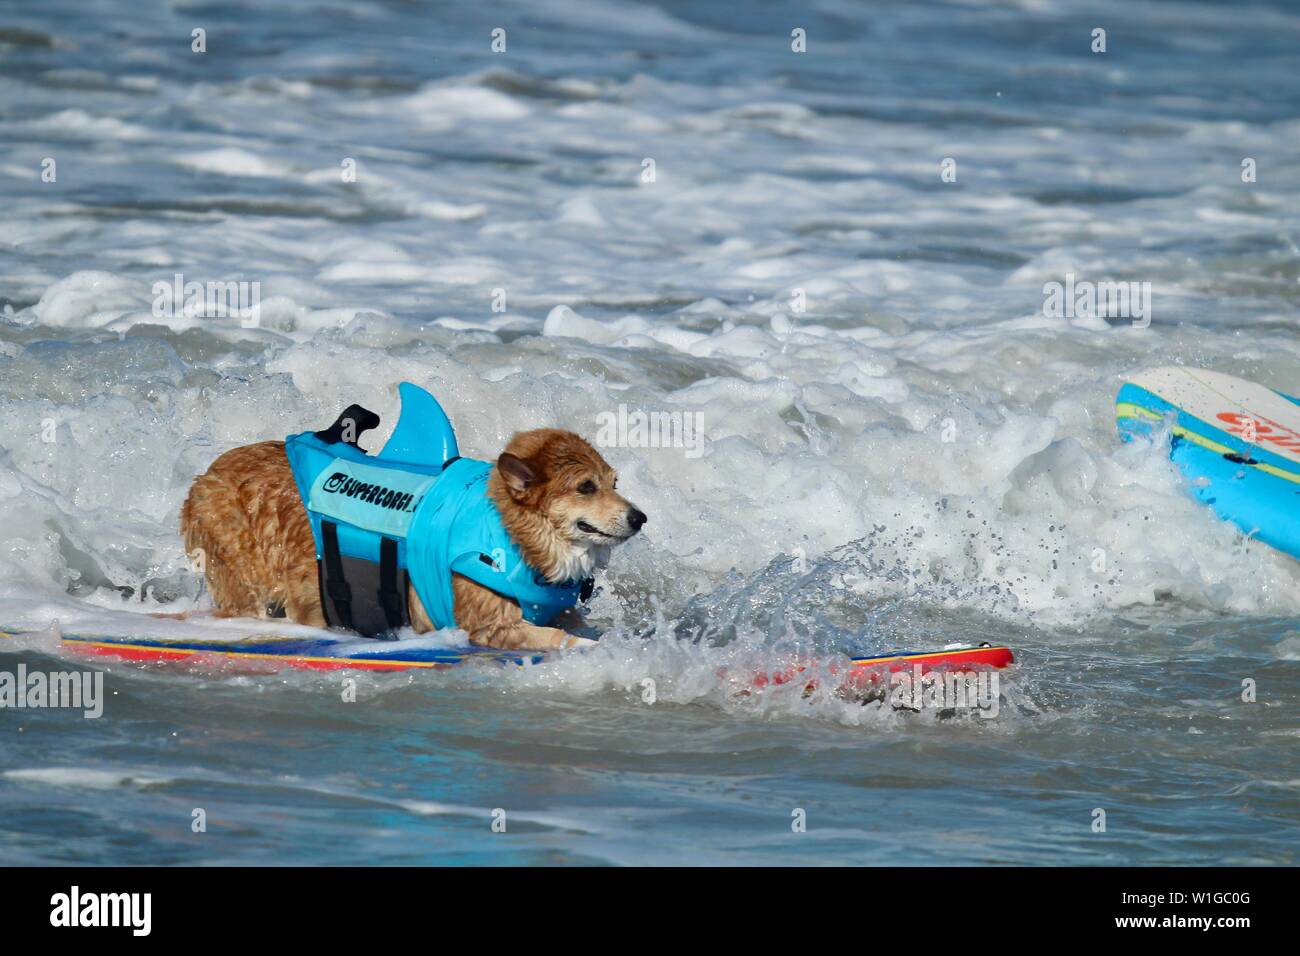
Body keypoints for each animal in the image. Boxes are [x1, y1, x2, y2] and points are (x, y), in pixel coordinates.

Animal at [180, 426, 647, 650]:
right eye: (586, 487)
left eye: (615, 482)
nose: (640, 517)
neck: (511, 529)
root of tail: (205, 476)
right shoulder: (490, 626)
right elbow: (558, 639)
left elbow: (580, 626)